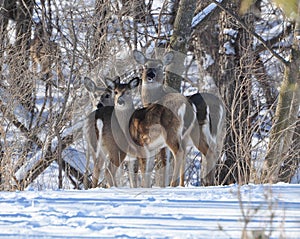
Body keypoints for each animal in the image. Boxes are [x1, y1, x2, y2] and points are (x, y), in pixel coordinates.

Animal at [134, 49, 225, 186]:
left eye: (160, 66)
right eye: (145, 66)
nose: (150, 74)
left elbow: (165, 162)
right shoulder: (184, 141)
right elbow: (183, 163)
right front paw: (181, 185)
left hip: (198, 132)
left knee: (207, 153)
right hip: (218, 133)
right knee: (214, 153)